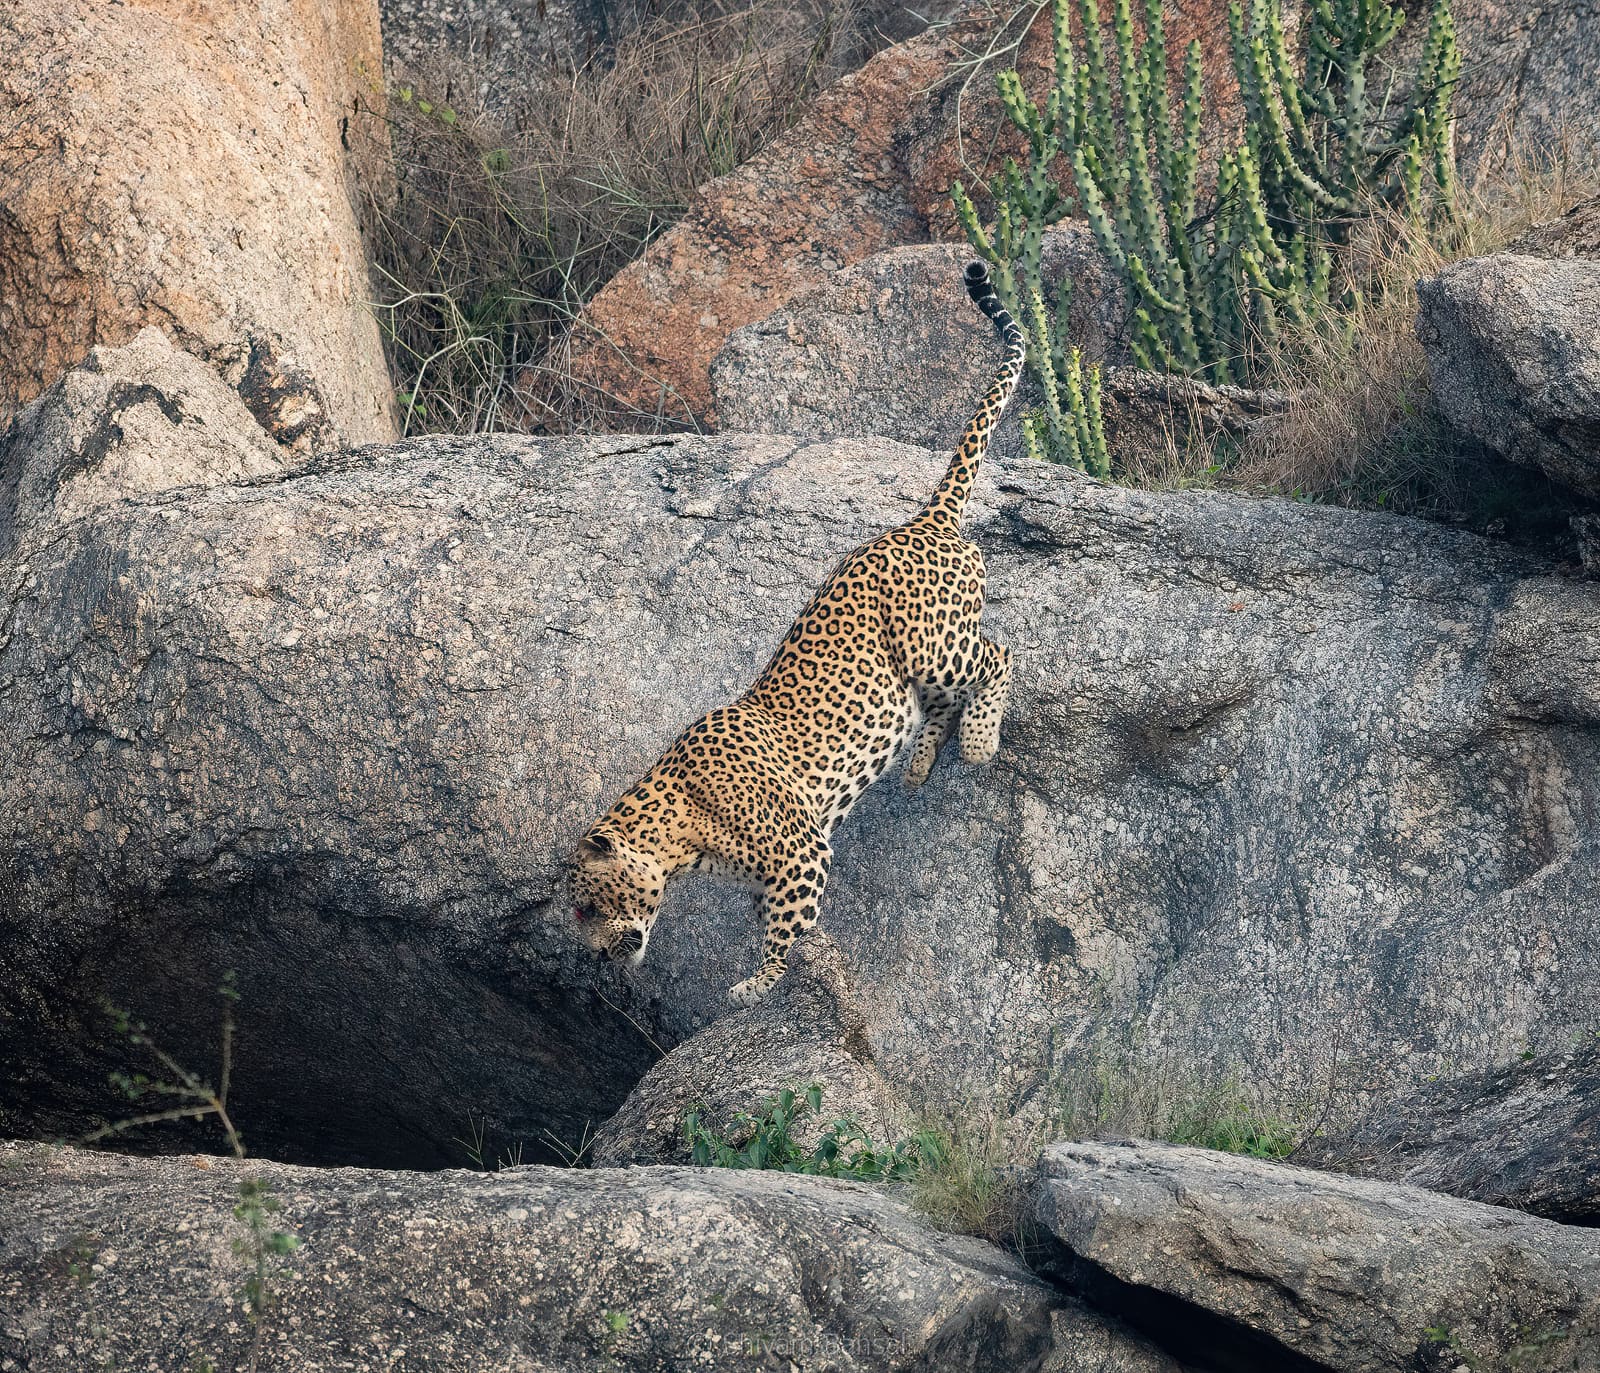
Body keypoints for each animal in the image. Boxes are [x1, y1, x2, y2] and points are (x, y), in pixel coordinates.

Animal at [568, 260, 1027, 1006]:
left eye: (585, 908)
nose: (599, 961)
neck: (679, 834)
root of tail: (922, 521)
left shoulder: (799, 855)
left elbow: (789, 933)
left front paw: (759, 985)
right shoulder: (769, 876)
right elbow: (782, 922)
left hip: (933, 645)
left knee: (997, 654)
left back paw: (980, 740)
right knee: (943, 699)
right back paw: (921, 763)